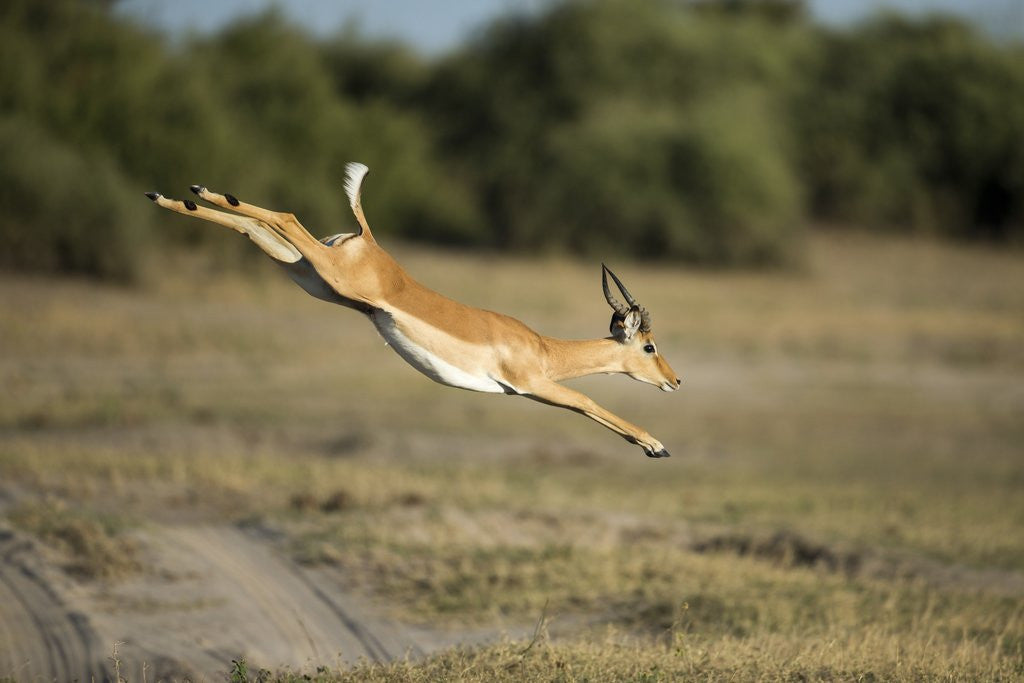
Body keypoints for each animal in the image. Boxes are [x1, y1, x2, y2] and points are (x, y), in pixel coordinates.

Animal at [145, 164, 680, 458]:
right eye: (649, 346)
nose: (675, 381)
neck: (543, 348)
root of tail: (368, 239)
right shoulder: (532, 386)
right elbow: (590, 403)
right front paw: (657, 445)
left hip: (311, 276)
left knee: (252, 228)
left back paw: (176, 196)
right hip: (325, 273)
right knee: (285, 215)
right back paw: (195, 192)